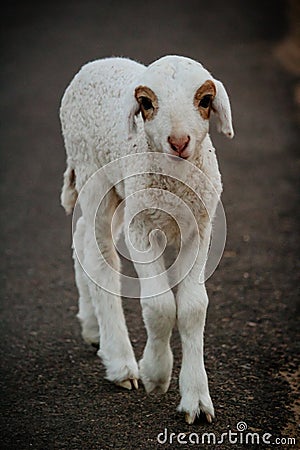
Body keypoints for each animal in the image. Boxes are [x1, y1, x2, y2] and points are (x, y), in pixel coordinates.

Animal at [59, 54, 234, 424]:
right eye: (147, 103)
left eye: (205, 101)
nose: (179, 142)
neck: (175, 181)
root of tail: (96, 63)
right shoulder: (141, 229)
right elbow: (160, 305)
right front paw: (156, 373)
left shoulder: (200, 229)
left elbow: (193, 307)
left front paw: (197, 399)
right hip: (93, 174)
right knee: (101, 258)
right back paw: (121, 362)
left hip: (118, 190)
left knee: (82, 236)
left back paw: (92, 327)